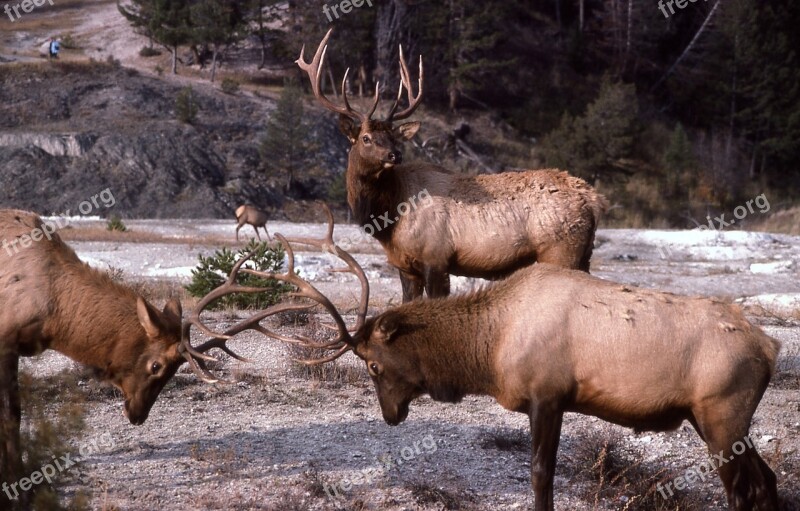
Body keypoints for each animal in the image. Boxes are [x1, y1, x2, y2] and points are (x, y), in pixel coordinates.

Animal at [0, 209, 244, 508]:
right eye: (156, 366)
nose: (138, 415)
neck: (52, 320)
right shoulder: (6, 341)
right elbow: (12, 416)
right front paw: (17, 489)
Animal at [197, 205, 780, 511]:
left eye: (373, 365)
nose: (391, 415)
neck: (490, 351)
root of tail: (771, 347)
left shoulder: (548, 395)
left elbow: (540, 476)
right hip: (718, 420)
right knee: (767, 481)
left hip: (721, 415)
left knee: (741, 490)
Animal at [298, 31, 608, 304]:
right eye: (366, 138)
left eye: (393, 137)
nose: (394, 155)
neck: (389, 218)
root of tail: (593, 199)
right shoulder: (405, 266)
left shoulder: (435, 258)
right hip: (583, 254)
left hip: (561, 251)